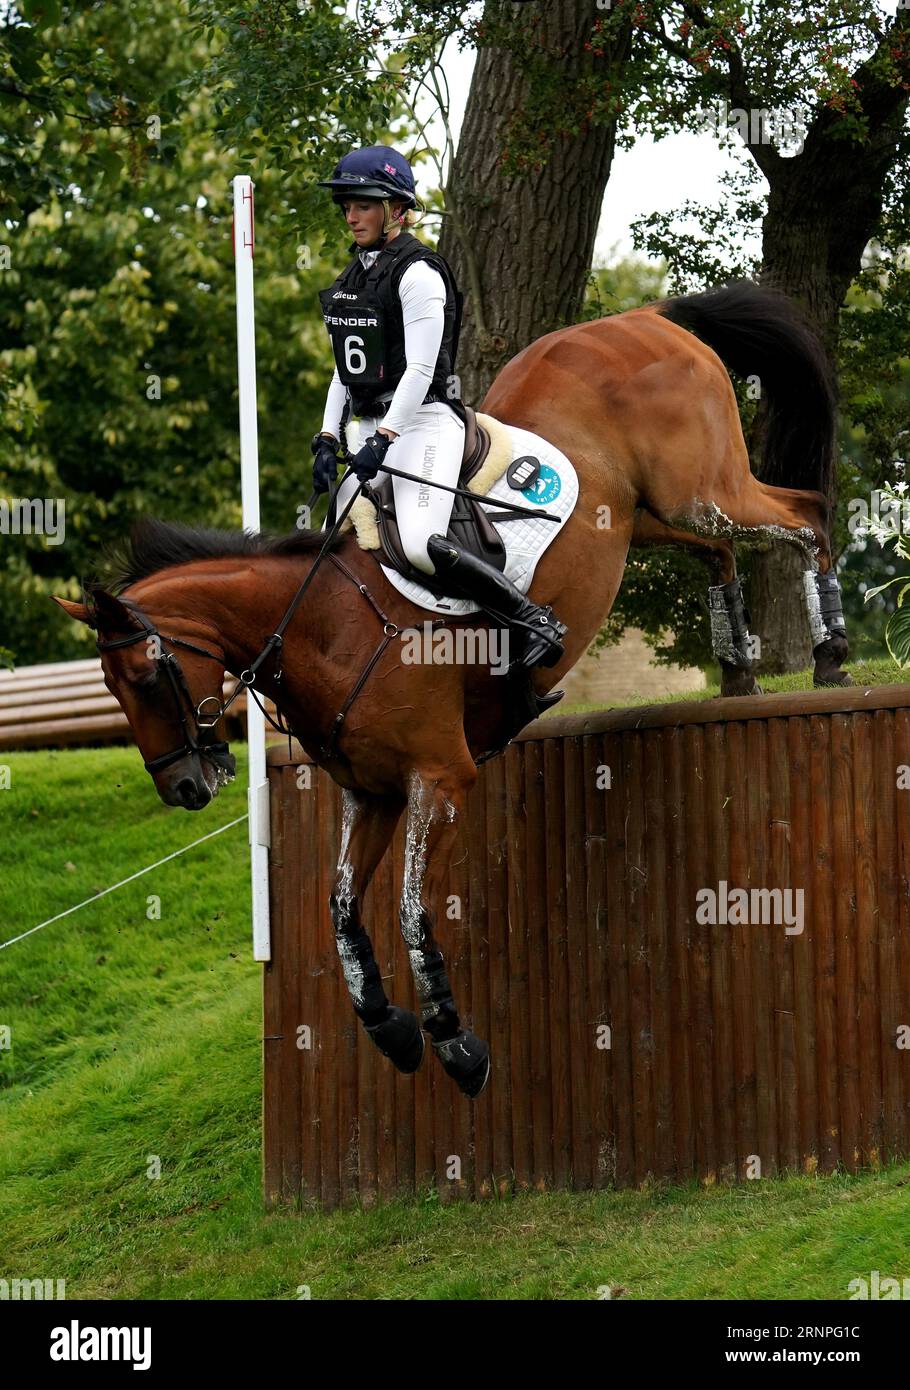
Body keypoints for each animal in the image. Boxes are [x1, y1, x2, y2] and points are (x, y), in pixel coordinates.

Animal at [56, 279, 844, 1095]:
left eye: (146, 675)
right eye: (113, 689)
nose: (182, 787)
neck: (324, 625)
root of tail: (645, 318)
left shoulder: (440, 778)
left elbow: (410, 910)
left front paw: (454, 1040)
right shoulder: (370, 795)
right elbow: (342, 910)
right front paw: (391, 1027)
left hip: (701, 490)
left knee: (806, 515)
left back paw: (830, 654)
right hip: (645, 518)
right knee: (720, 549)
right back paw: (739, 668)